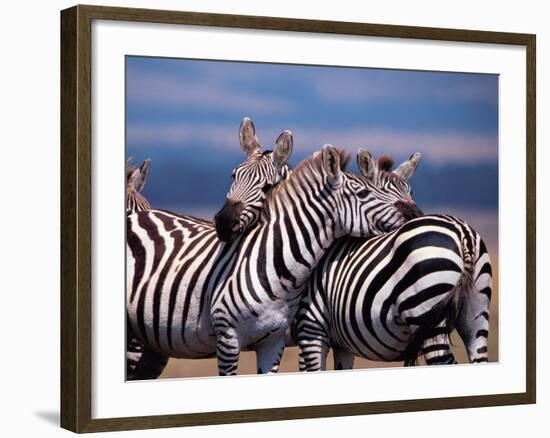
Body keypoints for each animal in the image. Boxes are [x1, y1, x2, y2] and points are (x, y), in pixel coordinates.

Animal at [296, 157, 494, 370]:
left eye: (411, 192)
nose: (415, 214)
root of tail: (463, 233)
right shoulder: (341, 342)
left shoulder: (311, 327)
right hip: (476, 310)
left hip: (427, 314)